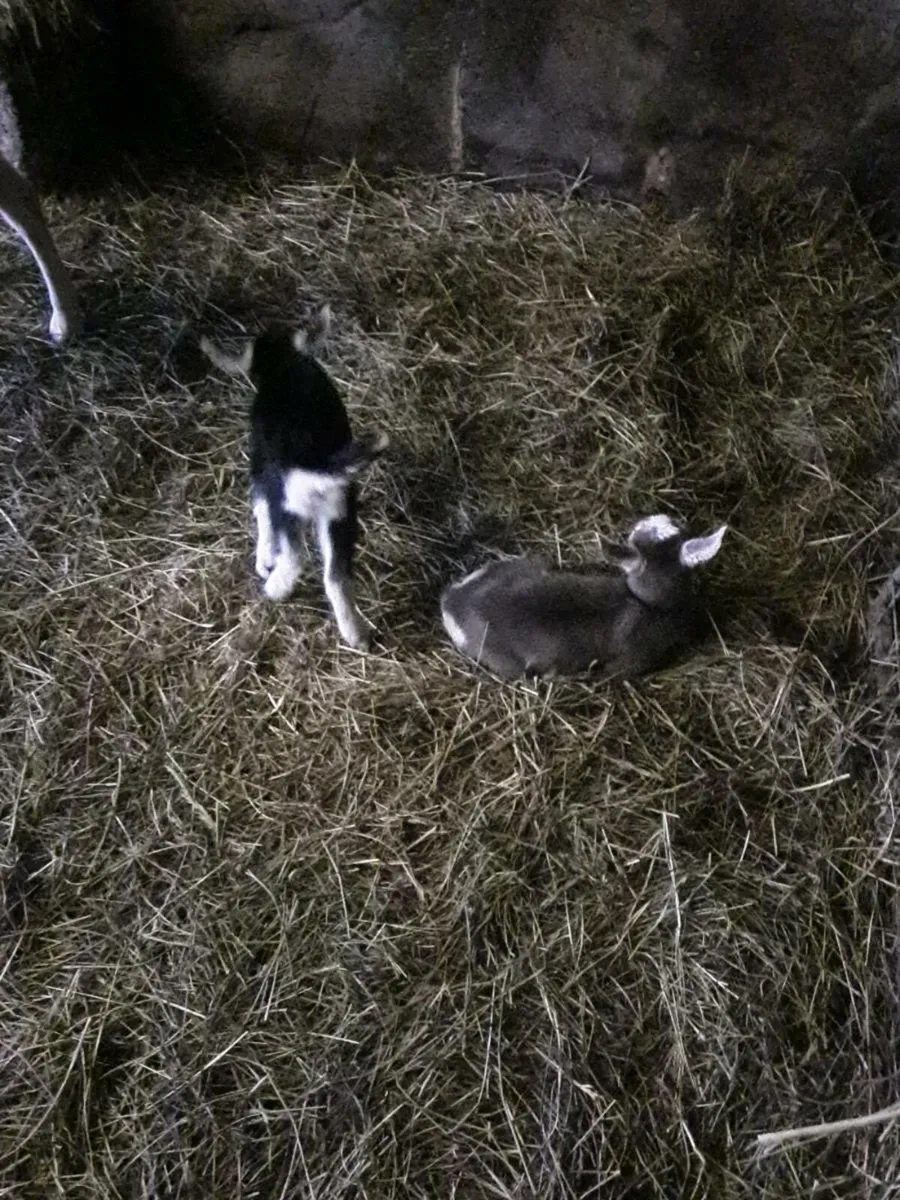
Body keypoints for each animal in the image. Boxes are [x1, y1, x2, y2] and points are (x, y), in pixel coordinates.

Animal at [200, 305, 388, 649]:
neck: (285, 363)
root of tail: (316, 468)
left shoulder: (263, 473)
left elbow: (260, 509)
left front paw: (264, 562)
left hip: (290, 507)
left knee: (295, 556)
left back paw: (274, 589)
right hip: (339, 512)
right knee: (337, 575)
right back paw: (356, 635)